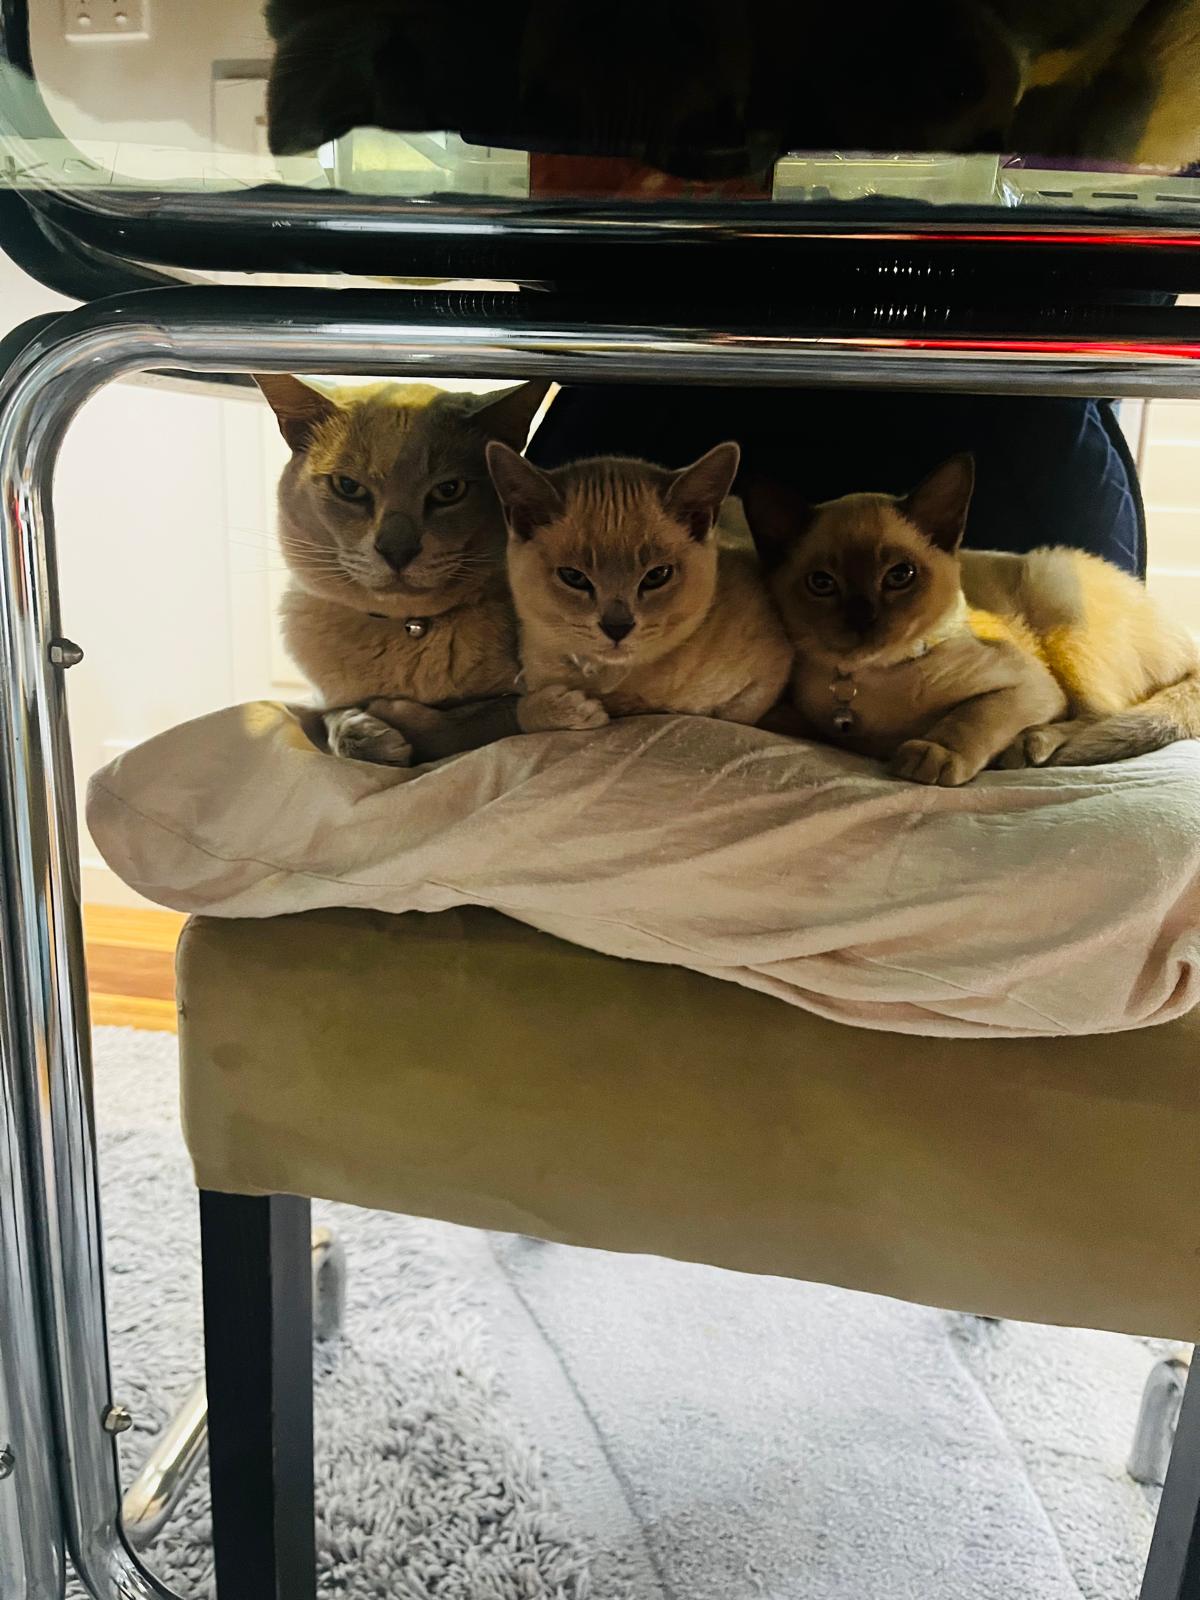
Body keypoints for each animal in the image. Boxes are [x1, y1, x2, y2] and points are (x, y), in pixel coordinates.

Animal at [257, 373, 548, 763]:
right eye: (348, 487)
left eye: (449, 490)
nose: (397, 550)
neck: (406, 627)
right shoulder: (322, 699)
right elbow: (333, 719)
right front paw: (366, 733)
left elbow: (471, 720)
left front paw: (389, 723)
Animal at [486, 440, 792, 732]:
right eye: (573, 577)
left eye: (657, 575)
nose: (617, 628)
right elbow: (523, 711)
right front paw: (574, 709)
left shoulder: (770, 670)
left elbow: (735, 715)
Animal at [743, 454, 1200, 786]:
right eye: (822, 583)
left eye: (900, 575)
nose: (863, 619)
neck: (869, 681)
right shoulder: (802, 710)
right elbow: (791, 720)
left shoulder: (1027, 685)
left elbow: (972, 717)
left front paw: (931, 755)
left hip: (1052, 588)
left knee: (1099, 715)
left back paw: (1025, 748)